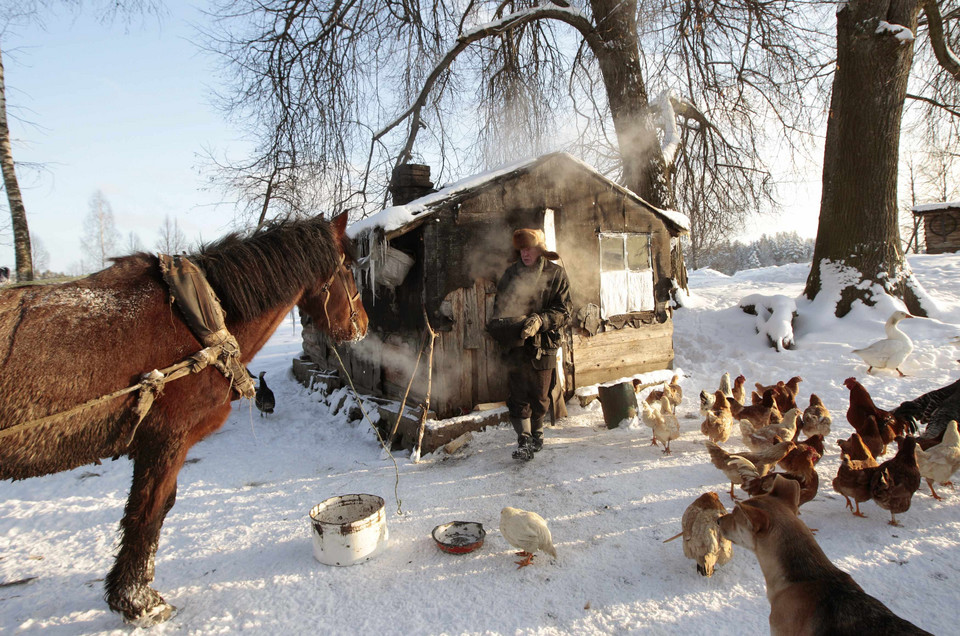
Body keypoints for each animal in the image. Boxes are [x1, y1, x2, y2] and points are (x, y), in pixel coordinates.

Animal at [0, 212, 366, 628]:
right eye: (349, 269)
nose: (364, 326)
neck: (195, 323)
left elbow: (154, 512)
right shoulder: (166, 440)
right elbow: (148, 513)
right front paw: (138, 600)